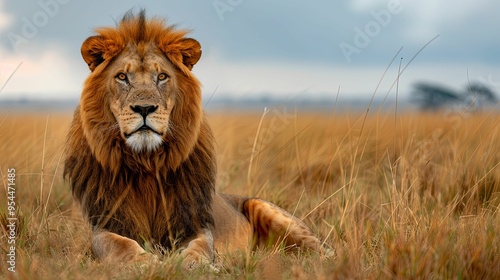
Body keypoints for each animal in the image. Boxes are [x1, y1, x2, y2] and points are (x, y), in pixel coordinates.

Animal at [63, 10, 324, 270]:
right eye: (122, 77)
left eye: (162, 76)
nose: (144, 108)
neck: (146, 163)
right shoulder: (105, 224)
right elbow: (120, 245)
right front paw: (146, 261)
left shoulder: (195, 223)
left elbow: (200, 245)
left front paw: (194, 263)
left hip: (266, 209)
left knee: (322, 250)